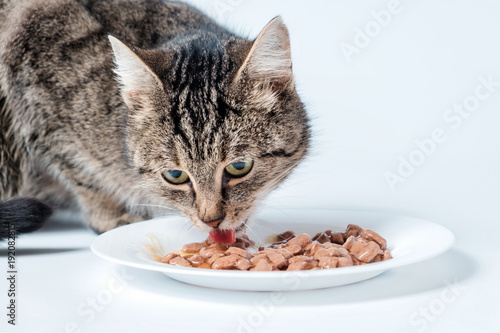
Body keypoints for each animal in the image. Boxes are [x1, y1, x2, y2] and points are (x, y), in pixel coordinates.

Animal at [0, 0, 310, 240]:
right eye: (175, 175)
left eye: (239, 167)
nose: (211, 220)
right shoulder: (40, 102)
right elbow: (81, 174)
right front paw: (112, 216)